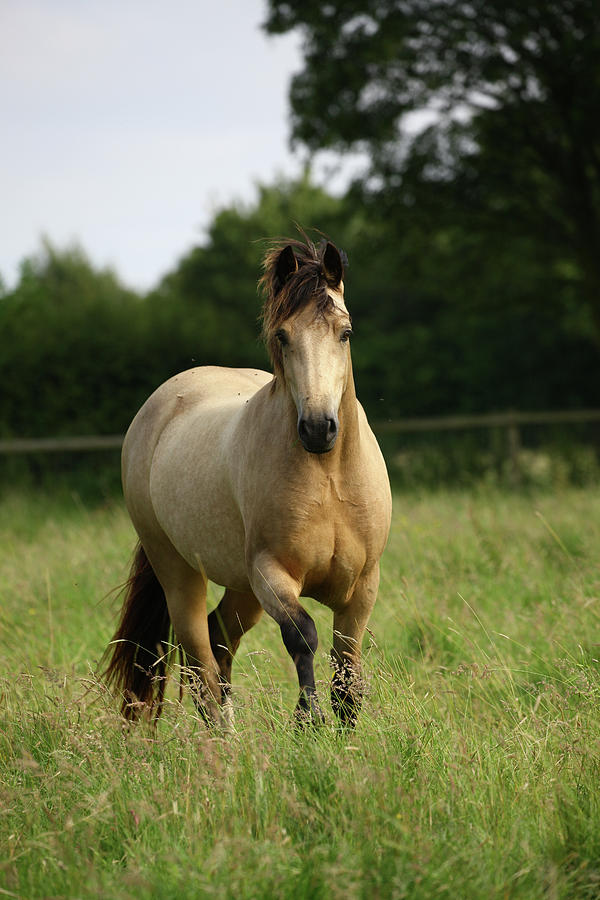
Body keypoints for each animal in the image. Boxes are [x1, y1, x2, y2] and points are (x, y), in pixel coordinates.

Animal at [104, 236, 394, 728]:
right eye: (282, 336)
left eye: (346, 332)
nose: (318, 428)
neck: (329, 476)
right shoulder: (271, 573)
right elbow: (303, 635)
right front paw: (307, 720)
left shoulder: (362, 586)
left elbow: (347, 670)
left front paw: (345, 731)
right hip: (181, 573)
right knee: (199, 658)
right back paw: (222, 736)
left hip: (241, 588)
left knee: (219, 640)